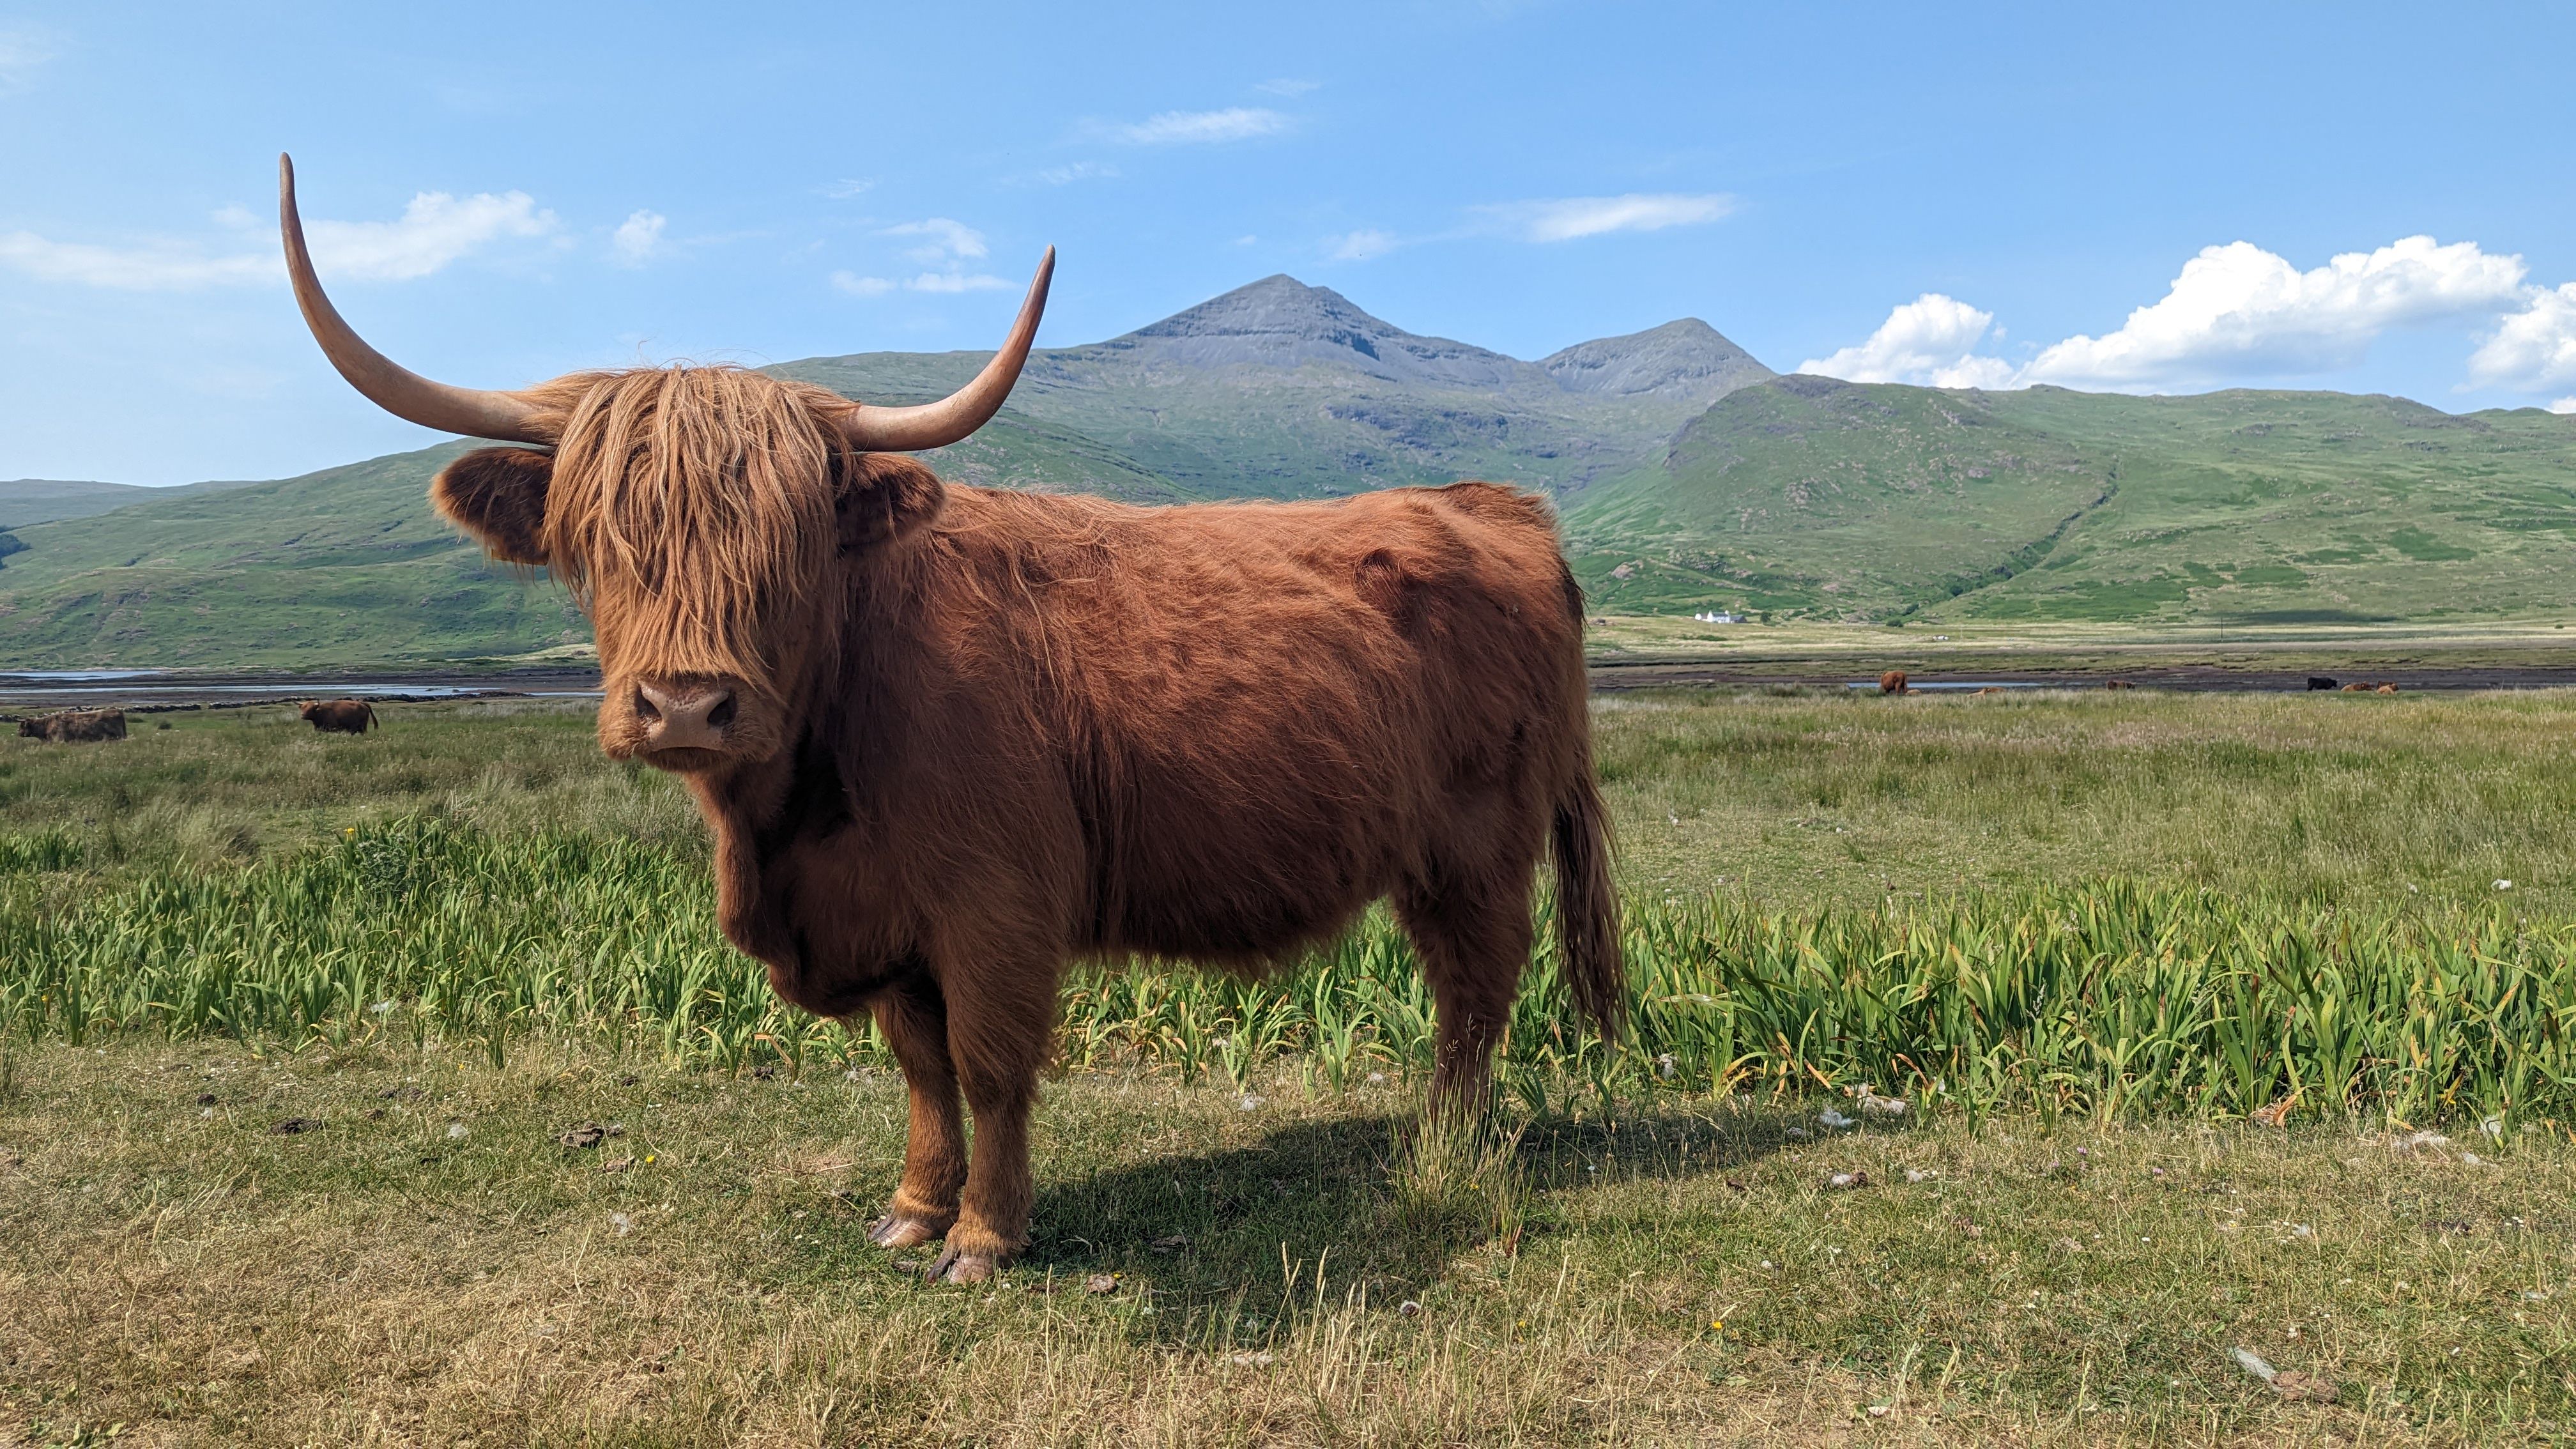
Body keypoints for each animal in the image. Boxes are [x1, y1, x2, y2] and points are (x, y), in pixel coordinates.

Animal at [275, 156, 1622, 1284]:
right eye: (599, 537)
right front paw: (915, 1208)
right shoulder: (884, 919)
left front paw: (983, 1235)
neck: (798, 808)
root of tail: (1493, 504)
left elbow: (988, 1060)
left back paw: (1446, 1145)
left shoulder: (997, 900)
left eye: (794, 541)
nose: (687, 703)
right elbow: (920, 1067)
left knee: (1474, 988)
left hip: (1476, 846)